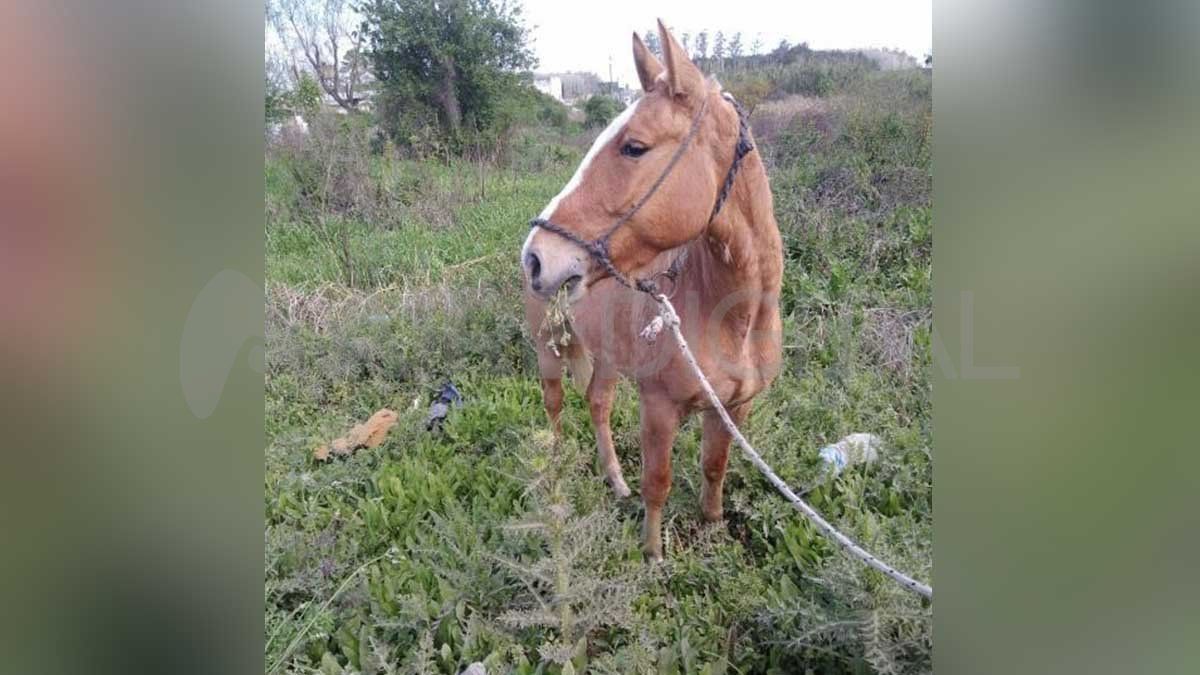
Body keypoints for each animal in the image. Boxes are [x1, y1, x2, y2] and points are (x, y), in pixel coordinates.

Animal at [521, 19, 783, 561]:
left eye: (634, 147)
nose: (535, 257)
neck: (733, 316)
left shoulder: (732, 409)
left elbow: (714, 467)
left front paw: (712, 525)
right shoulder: (659, 408)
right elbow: (658, 482)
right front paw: (653, 553)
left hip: (606, 357)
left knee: (597, 404)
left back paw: (614, 480)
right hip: (548, 349)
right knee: (555, 408)